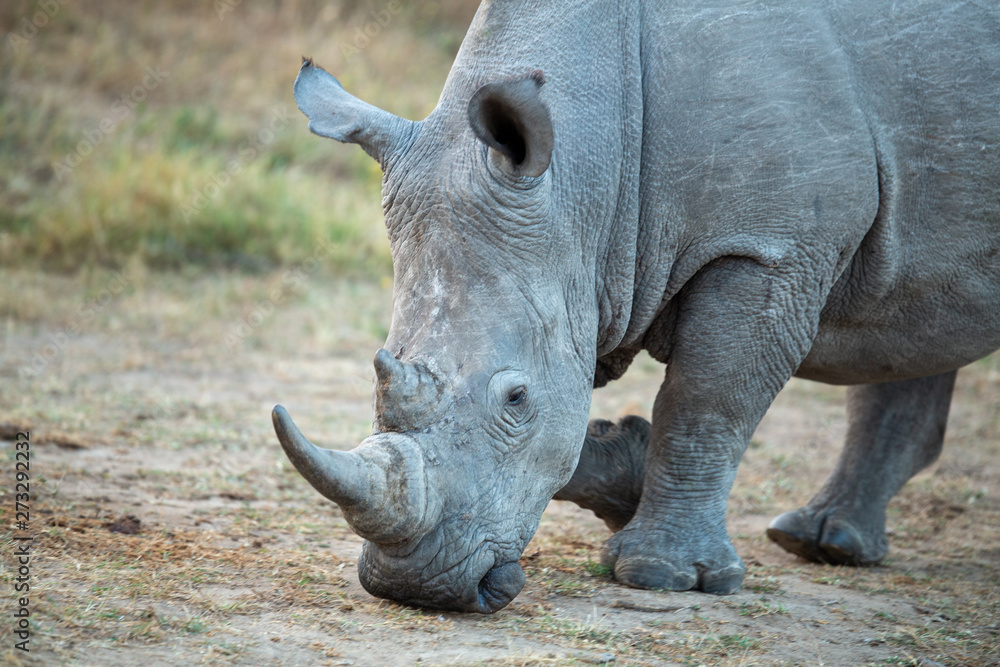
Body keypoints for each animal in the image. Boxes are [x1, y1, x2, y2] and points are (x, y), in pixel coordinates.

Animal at [273, 0, 1000, 613]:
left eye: (516, 399)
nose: (416, 587)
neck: (588, 172)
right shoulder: (588, 266)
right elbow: (577, 430)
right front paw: (628, 471)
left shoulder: (768, 247)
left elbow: (706, 400)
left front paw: (663, 575)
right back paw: (824, 543)